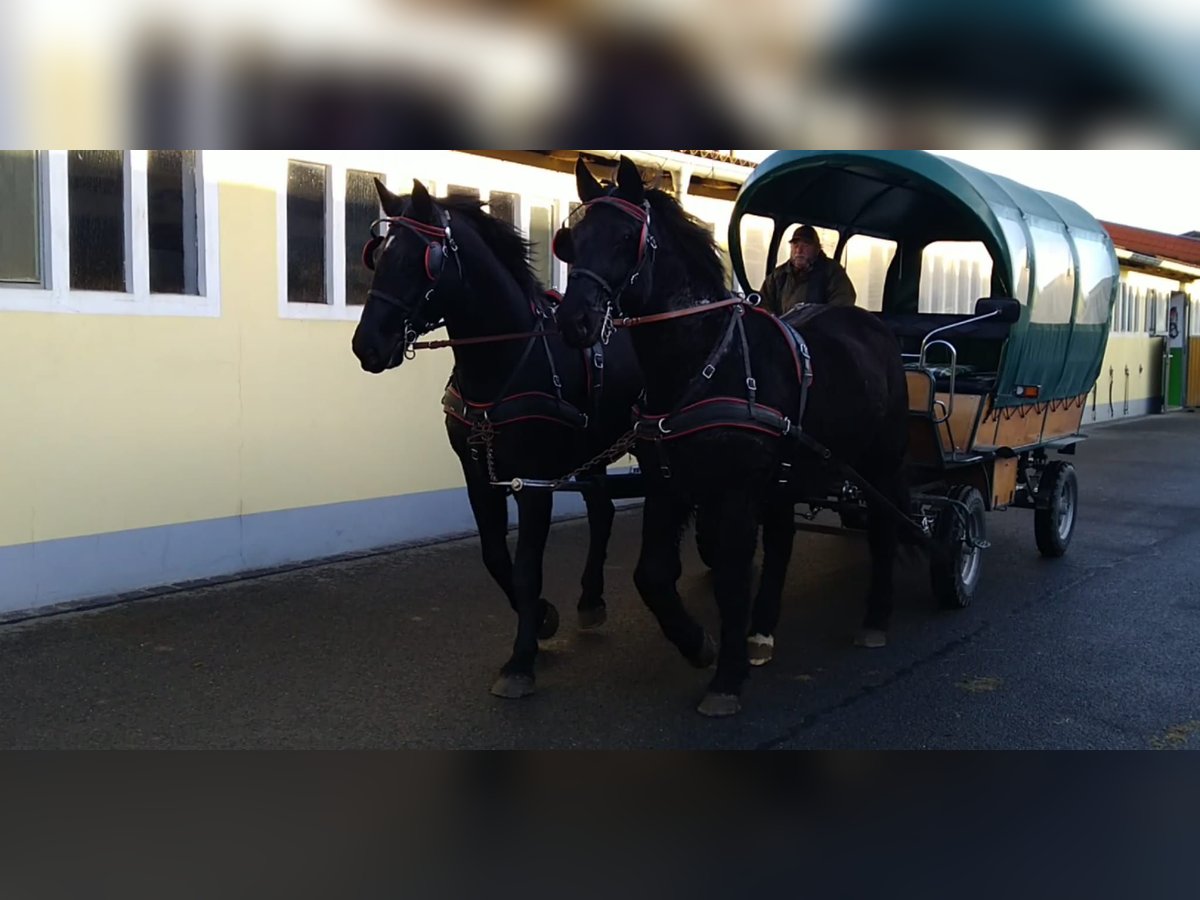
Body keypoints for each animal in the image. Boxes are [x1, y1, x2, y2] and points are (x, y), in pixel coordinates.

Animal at [350, 180, 643, 700]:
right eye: (378, 254)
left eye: (420, 260)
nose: (367, 344)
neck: (506, 360)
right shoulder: (478, 477)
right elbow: (495, 558)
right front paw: (543, 617)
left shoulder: (535, 483)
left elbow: (526, 568)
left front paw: (521, 660)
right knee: (603, 509)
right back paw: (591, 599)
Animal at [552, 157, 907, 720]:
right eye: (572, 239)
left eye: (627, 236)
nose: (574, 321)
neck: (703, 361)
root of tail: (875, 328)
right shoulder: (668, 486)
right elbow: (652, 574)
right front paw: (698, 644)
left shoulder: (735, 494)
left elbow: (730, 577)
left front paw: (727, 677)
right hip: (786, 478)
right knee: (782, 543)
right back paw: (762, 631)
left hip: (880, 463)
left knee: (883, 528)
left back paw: (875, 617)